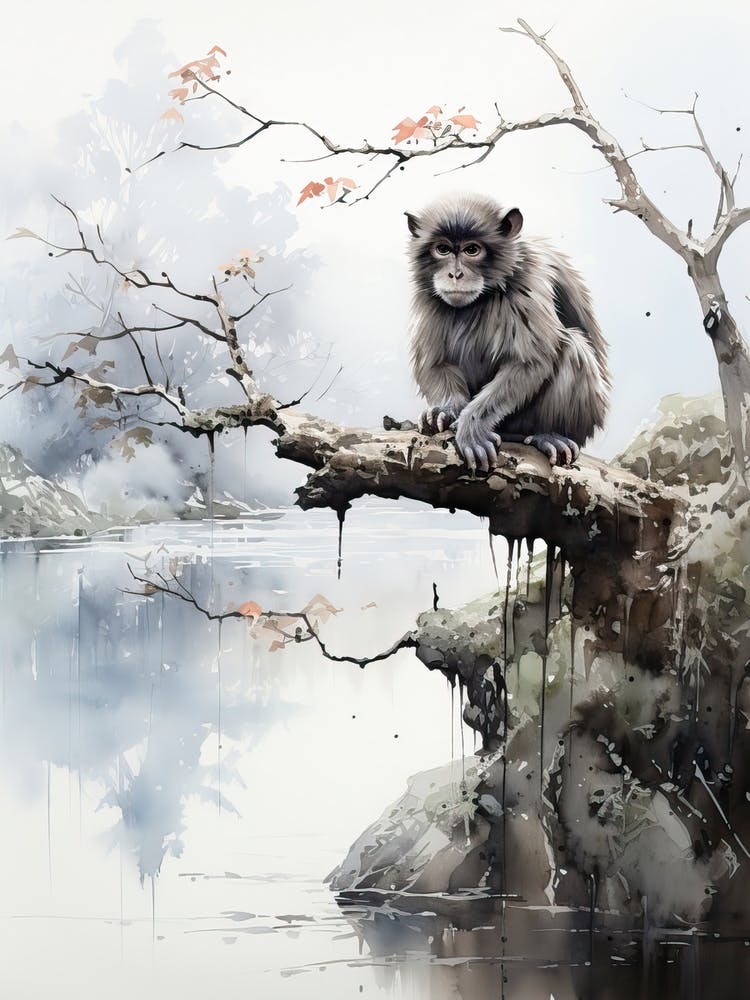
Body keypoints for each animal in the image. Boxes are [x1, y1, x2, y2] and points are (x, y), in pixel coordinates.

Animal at [406, 193, 610, 472]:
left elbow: (528, 362)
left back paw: (545, 435)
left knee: (573, 347)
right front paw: (444, 410)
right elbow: (435, 363)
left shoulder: (528, 282)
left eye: (472, 250)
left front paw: (472, 428)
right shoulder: (427, 296)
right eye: (443, 249)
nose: (455, 274)